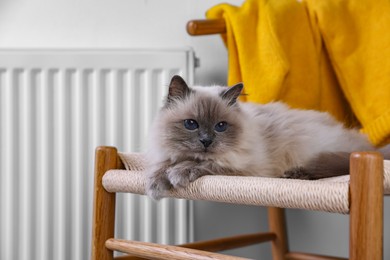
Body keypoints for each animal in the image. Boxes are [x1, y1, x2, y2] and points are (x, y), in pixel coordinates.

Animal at [145, 74, 374, 199]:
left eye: (221, 126)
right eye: (191, 124)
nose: (206, 141)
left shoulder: (244, 168)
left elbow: (206, 163)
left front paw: (177, 174)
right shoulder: (167, 155)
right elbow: (162, 166)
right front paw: (155, 184)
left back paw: (296, 174)